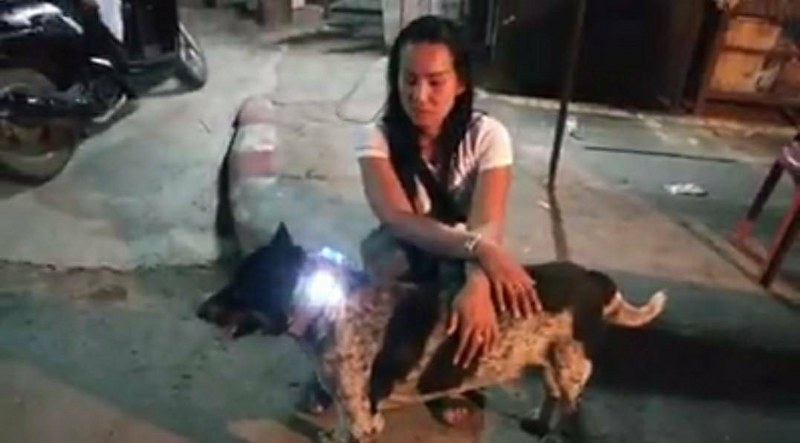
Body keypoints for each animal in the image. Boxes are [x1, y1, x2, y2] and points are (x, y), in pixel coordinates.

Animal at [197, 223, 667, 442]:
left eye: (242, 285)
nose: (200, 310)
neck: (326, 304)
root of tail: (593, 279)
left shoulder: (361, 414)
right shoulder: (357, 411)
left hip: (571, 366)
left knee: (573, 410)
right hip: (552, 361)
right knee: (552, 395)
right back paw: (538, 423)